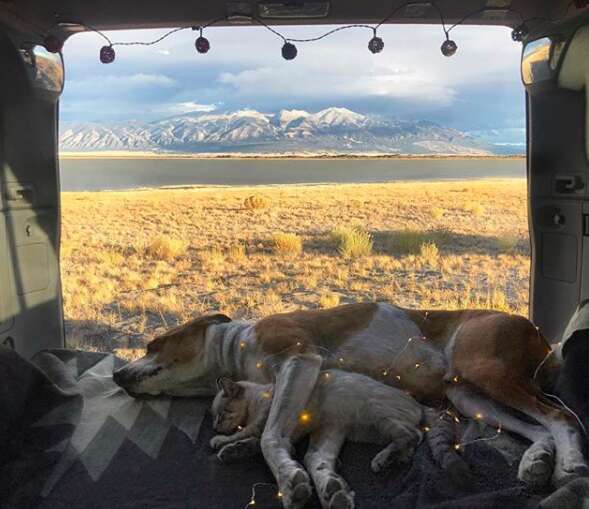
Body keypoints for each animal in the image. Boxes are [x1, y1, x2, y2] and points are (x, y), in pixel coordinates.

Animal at [211, 370, 464, 508]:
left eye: (221, 414)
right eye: (214, 416)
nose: (214, 425)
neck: (260, 397)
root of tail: (419, 403)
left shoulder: (266, 423)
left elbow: (248, 434)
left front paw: (220, 441)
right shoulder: (286, 434)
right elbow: (251, 442)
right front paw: (232, 450)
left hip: (377, 414)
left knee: (412, 434)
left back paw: (382, 459)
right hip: (367, 429)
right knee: (414, 439)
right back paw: (395, 459)